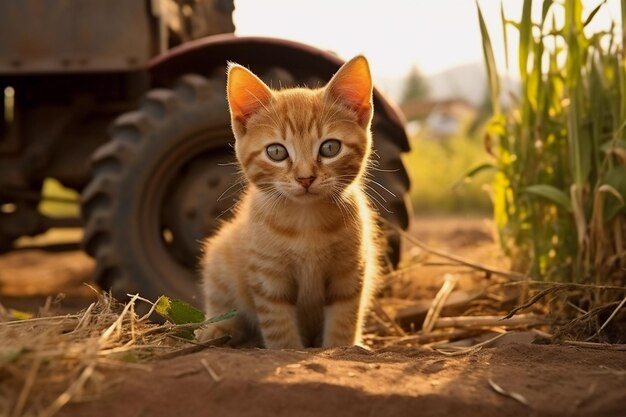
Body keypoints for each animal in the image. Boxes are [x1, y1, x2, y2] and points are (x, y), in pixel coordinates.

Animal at [195, 56, 380, 348]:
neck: (307, 223)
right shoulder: (268, 278)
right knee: (219, 299)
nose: (305, 178)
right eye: (276, 152)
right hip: (220, 256)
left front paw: (341, 348)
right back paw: (217, 329)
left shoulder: (351, 272)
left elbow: (344, 320)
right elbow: (279, 328)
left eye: (330, 148)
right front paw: (288, 350)